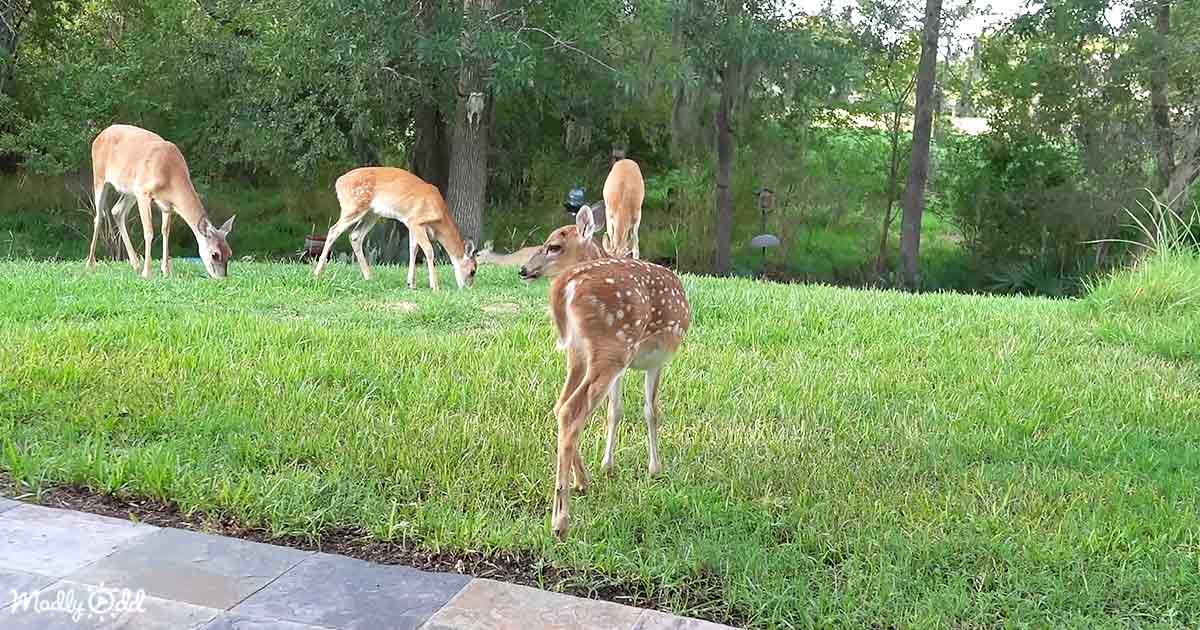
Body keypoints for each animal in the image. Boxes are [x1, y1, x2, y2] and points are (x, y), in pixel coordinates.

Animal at [88, 124, 236, 279]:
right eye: (214, 254)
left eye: (229, 252)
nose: (222, 277)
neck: (170, 175)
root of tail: (99, 136)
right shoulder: (143, 192)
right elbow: (148, 231)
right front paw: (147, 272)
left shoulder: (167, 205)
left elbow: (165, 231)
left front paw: (166, 270)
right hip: (99, 176)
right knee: (99, 216)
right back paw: (90, 263)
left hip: (130, 190)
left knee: (117, 211)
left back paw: (135, 264)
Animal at [312, 167, 477, 289]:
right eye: (473, 271)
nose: (467, 288)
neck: (440, 218)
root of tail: (338, 182)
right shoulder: (416, 220)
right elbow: (429, 250)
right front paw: (434, 286)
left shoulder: (411, 224)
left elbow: (413, 249)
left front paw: (411, 283)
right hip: (353, 206)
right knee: (333, 230)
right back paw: (317, 273)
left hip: (372, 213)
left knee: (355, 236)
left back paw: (369, 277)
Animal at [519, 206, 691, 540]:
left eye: (553, 246)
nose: (523, 269)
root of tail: (566, 285)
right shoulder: (657, 360)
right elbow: (651, 411)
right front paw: (655, 468)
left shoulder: (624, 368)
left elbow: (616, 410)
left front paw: (607, 465)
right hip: (612, 345)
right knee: (571, 411)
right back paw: (561, 521)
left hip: (582, 354)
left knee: (560, 406)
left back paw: (580, 483)